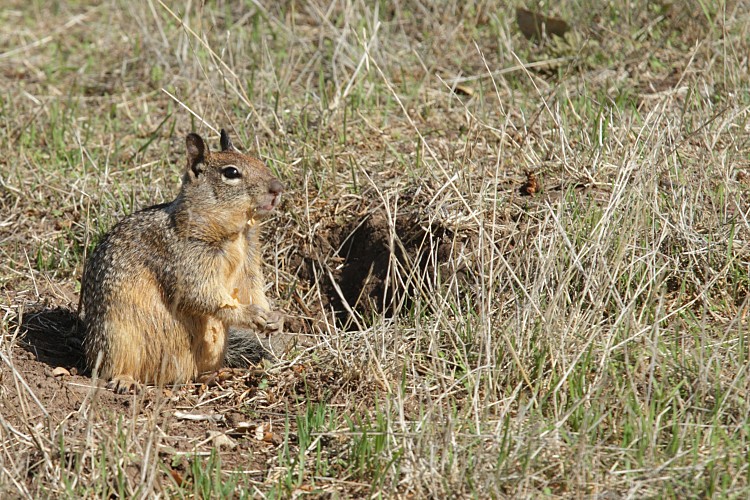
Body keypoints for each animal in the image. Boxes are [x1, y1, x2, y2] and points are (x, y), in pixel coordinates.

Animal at [80, 130, 284, 394]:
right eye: (231, 172)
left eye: (257, 160)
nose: (278, 188)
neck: (235, 235)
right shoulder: (185, 262)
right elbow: (200, 294)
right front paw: (250, 315)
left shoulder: (249, 264)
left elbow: (253, 290)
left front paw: (274, 317)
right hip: (117, 339)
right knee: (110, 370)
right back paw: (125, 381)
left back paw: (217, 375)